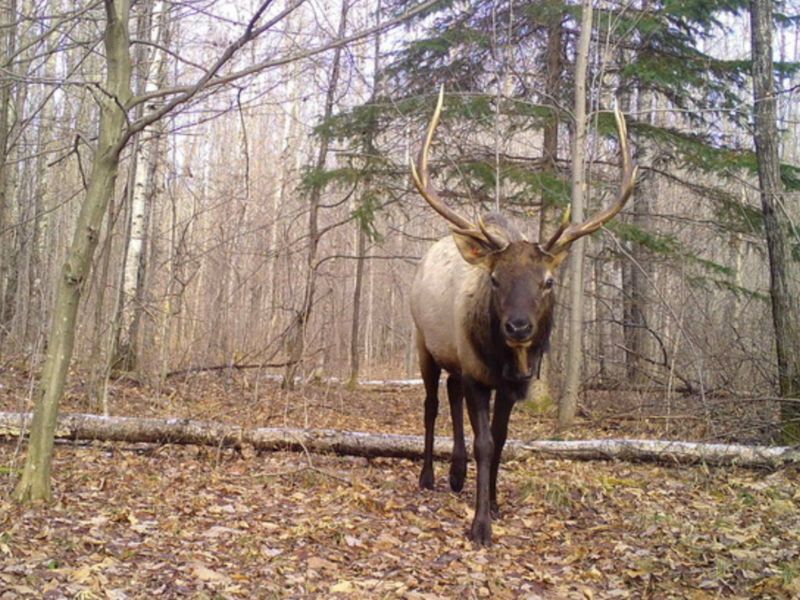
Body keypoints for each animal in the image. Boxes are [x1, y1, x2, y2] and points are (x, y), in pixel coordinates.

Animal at [410, 86, 636, 548]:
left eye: (548, 281)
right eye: (496, 279)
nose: (518, 327)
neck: (505, 361)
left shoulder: (512, 383)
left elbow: (499, 441)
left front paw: (494, 504)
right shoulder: (478, 373)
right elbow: (483, 442)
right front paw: (480, 526)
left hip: (455, 357)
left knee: (452, 394)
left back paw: (456, 475)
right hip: (423, 341)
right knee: (431, 403)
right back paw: (429, 476)